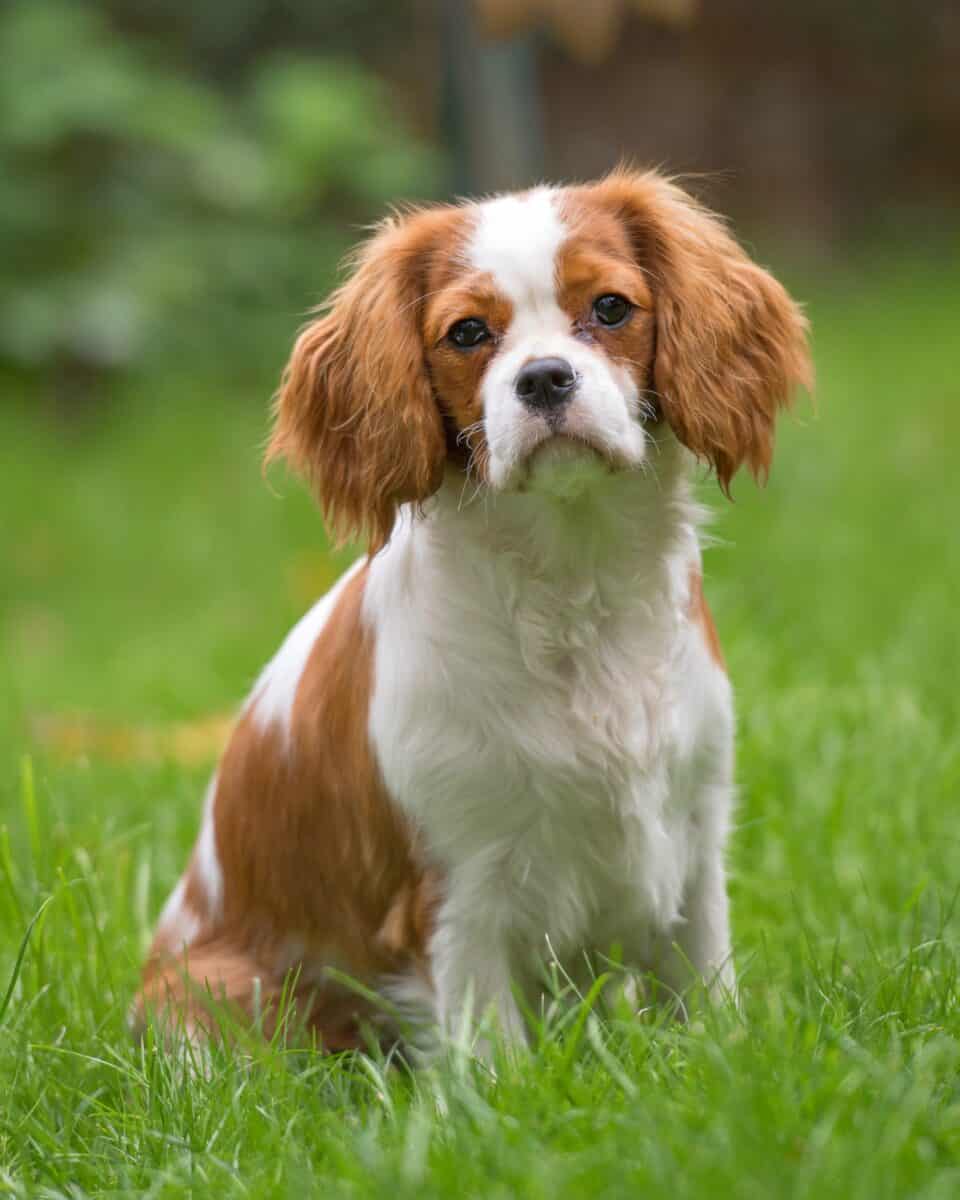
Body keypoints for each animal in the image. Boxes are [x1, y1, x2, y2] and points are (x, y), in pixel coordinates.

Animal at [133, 166, 811, 1051]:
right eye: (466, 334)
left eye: (611, 309)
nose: (545, 377)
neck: (571, 579)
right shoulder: (459, 893)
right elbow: (493, 1055)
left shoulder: (693, 842)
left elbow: (704, 997)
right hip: (212, 995)